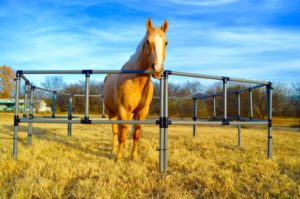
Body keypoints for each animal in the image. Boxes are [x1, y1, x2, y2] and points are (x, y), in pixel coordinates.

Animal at [103, 18, 169, 161]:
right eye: (147, 41)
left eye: (166, 42)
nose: (157, 70)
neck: (136, 80)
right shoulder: (123, 109)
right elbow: (122, 134)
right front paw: (119, 158)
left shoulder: (142, 112)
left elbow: (136, 134)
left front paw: (133, 156)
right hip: (112, 112)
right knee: (116, 131)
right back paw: (114, 150)